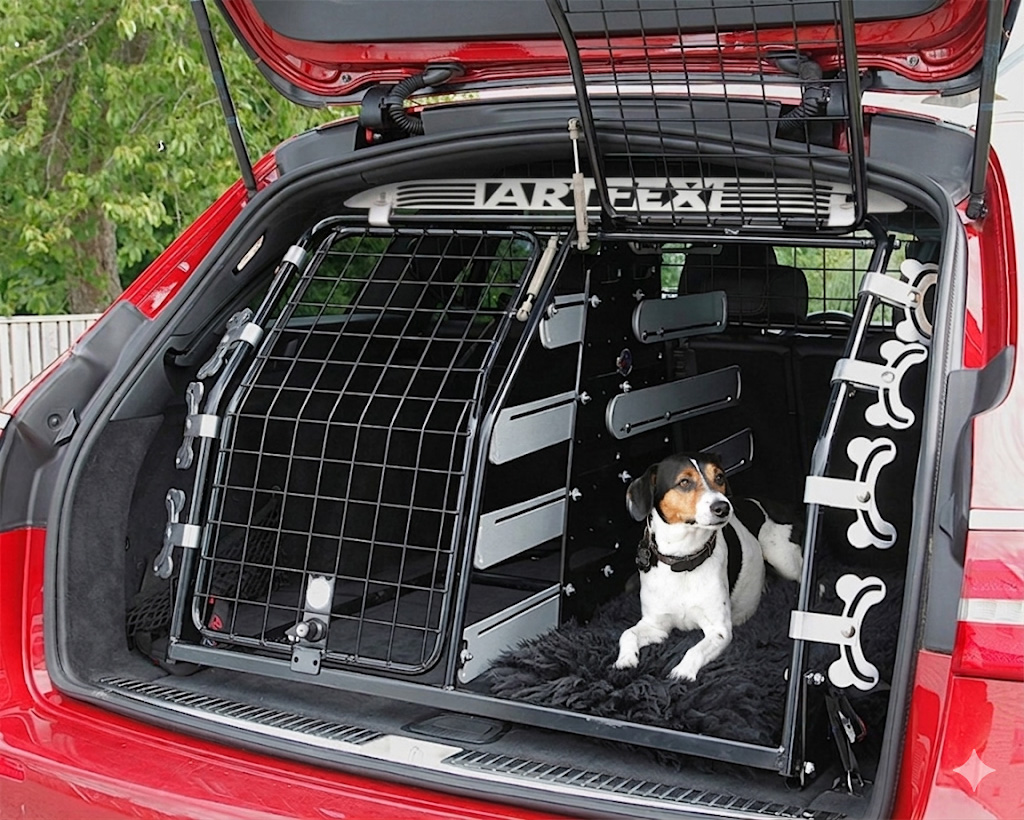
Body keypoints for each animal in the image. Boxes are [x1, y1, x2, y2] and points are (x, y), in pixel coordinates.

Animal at [614, 452, 803, 681]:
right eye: (684, 482)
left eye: (719, 477)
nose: (723, 507)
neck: (683, 561)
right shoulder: (656, 625)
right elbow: (627, 633)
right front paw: (625, 660)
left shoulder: (719, 630)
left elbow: (695, 650)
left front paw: (682, 673)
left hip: (780, 555)